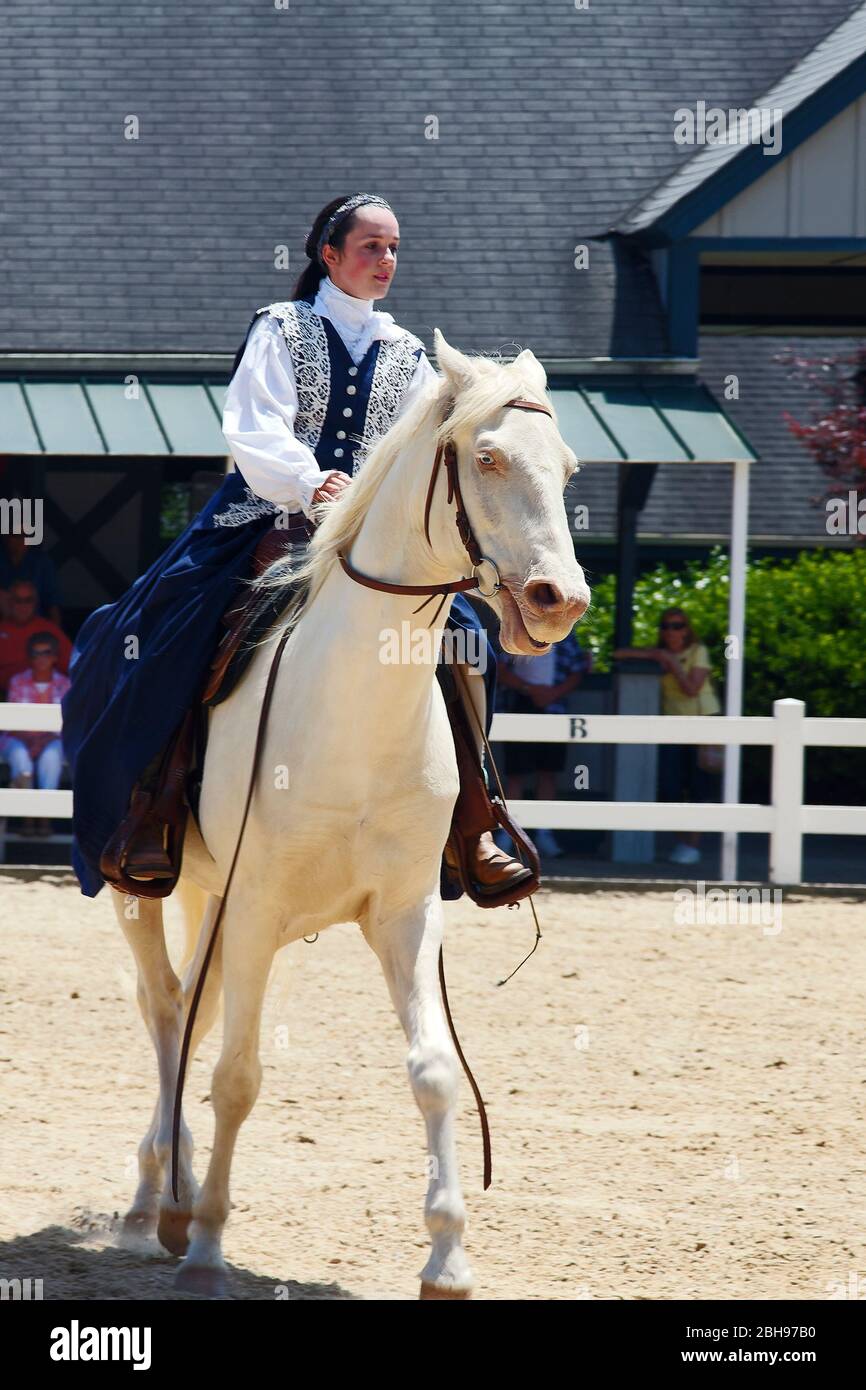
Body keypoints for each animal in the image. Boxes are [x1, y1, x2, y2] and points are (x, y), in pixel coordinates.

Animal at [111, 329, 590, 1298]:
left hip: (217, 902)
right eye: (487, 457)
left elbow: (436, 1073)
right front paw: (210, 1244)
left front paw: (447, 1257)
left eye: (565, 467)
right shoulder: (257, 909)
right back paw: (157, 1203)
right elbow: (239, 1077)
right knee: (169, 1010)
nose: (560, 601)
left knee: (193, 1011)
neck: (353, 710)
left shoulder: (402, 913)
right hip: (142, 893)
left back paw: (167, 1194)